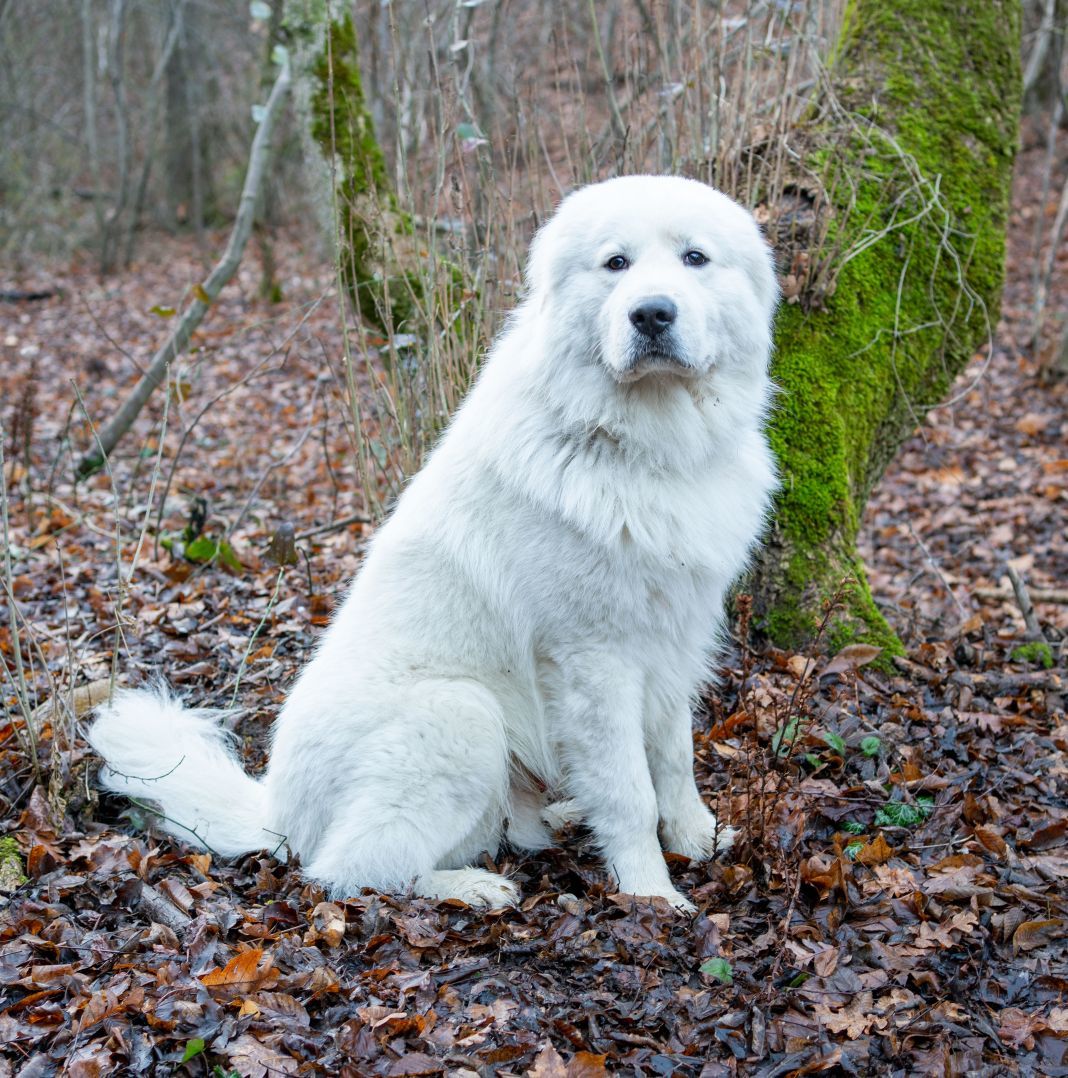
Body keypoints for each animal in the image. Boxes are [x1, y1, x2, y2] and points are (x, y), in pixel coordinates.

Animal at [89, 174, 775, 909]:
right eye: (615, 263)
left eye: (694, 259)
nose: (651, 314)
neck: (644, 442)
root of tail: (274, 813)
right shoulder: (595, 659)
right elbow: (629, 793)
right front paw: (650, 895)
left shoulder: (672, 641)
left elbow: (673, 760)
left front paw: (696, 838)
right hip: (460, 714)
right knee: (348, 870)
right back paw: (472, 888)